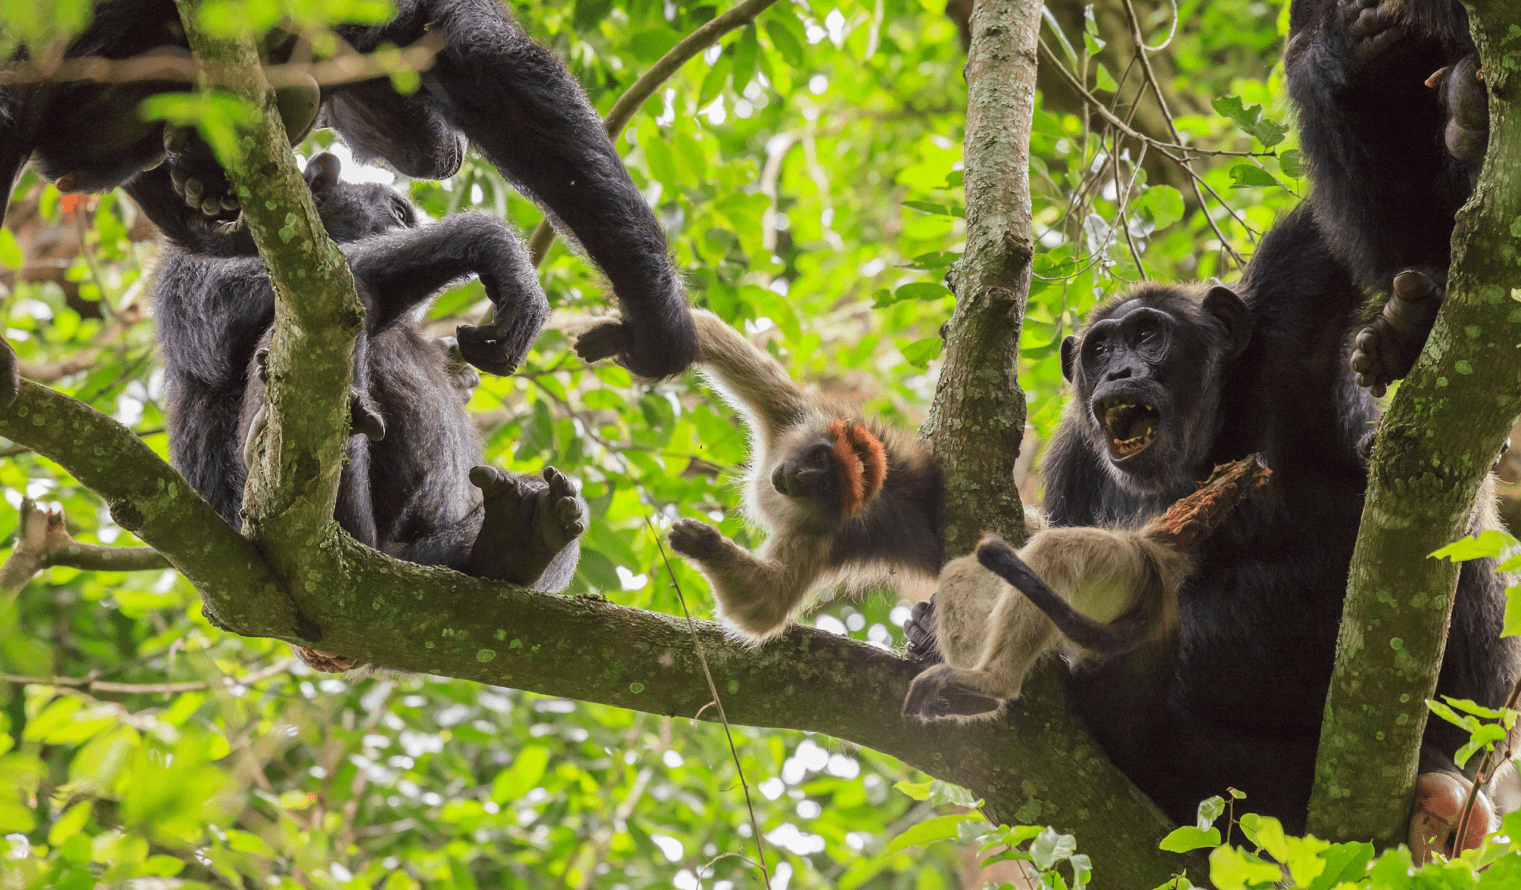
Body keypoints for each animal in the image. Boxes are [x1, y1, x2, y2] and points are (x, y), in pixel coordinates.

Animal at [135, 152, 587, 645]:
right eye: (400, 212)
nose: (407, 227)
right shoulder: (186, 265)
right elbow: (229, 302)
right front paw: (491, 244)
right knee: (345, 301)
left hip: (422, 558)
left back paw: (520, 533)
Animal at [906, 202, 1514, 851]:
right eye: (1100, 349)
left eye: (1147, 335)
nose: (1118, 370)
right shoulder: (1072, 463)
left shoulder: (1293, 300)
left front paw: (1403, 331)